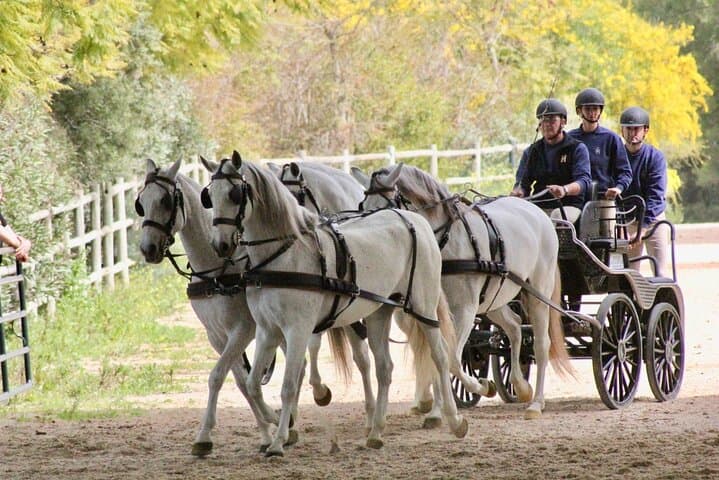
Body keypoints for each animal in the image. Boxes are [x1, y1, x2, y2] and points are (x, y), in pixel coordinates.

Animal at [201, 151, 468, 456]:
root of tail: (414, 220)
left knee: (440, 355)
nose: (220, 245)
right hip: (380, 312)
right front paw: (280, 422)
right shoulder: (268, 330)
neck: (284, 256)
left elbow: (289, 385)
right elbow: (253, 383)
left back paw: (453, 420)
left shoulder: (298, 330)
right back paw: (376, 432)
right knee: (384, 367)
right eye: (210, 195)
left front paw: (279, 440)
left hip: (423, 308)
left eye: (235, 194)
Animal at [353, 163, 572, 419]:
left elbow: (451, 360)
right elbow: (437, 356)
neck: (446, 241)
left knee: (541, 343)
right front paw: (437, 410)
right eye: (363, 207)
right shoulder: (430, 312)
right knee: (515, 327)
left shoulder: (464, 310)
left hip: (538, 293)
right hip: (494, 300)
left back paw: (536, 403)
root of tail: (537, 212)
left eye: (385, 208)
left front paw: (482, 387)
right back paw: (521, 386)